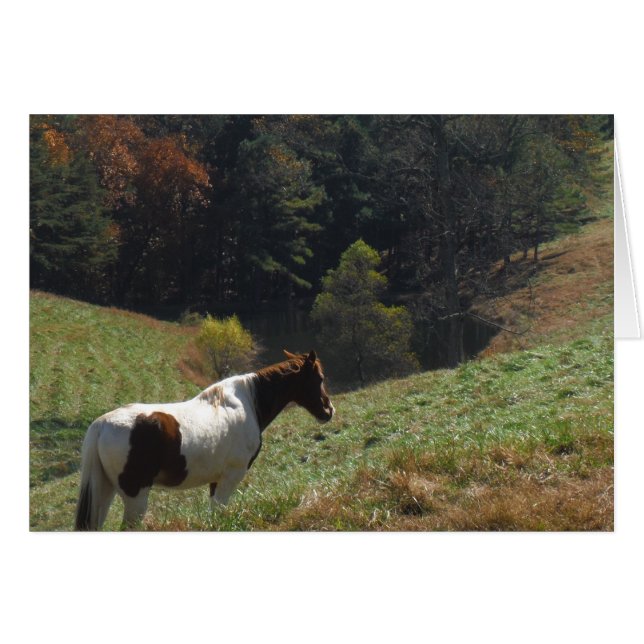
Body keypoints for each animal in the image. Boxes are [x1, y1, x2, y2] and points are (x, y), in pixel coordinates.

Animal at [75, 349, 334, 530]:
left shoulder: (216, 480)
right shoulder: (231, 476)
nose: (328, 410)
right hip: (135, 496)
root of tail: (101, 425)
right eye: (320, 378)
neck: (248, 403)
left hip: (104, 490)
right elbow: (220, 511)